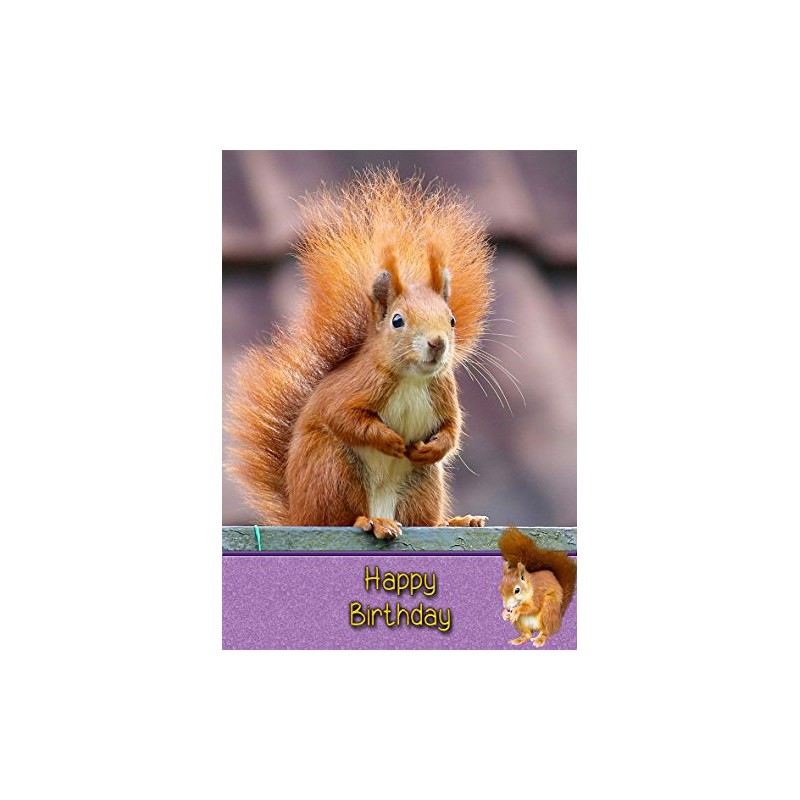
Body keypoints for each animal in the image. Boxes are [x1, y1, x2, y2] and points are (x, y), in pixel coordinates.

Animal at [226, 168, 495, 539]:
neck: (411, 379)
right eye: (398, 320)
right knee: (340, 517)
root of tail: (300, 514)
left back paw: (454, 521)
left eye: (452, 319)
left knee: (421, 520)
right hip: (332, 469)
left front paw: (431, 447)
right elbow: (344, 416)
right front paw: (391, 440)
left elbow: (452, 431)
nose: (437, 343)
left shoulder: (443, 393)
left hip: (422, 483)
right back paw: (370, 522)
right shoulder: (356, 386)